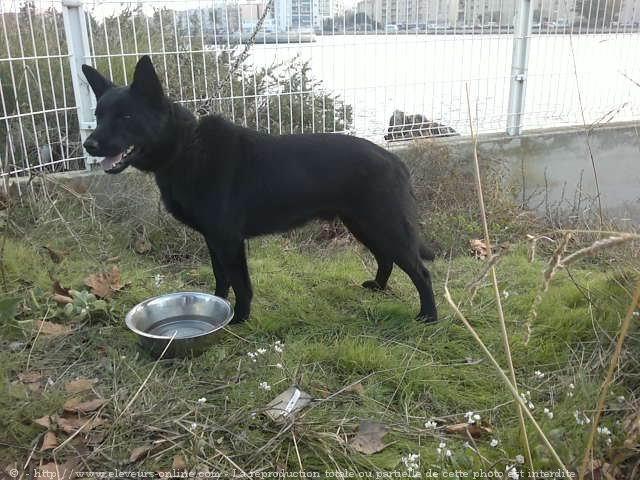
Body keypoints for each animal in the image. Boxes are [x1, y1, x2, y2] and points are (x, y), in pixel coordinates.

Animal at [81, 58, 436, 324]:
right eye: (98, 116)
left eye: (126, 116)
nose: (89, 145)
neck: (186, 148)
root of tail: (394, 160)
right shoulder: (213, 240)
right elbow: (221, 279)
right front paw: (216, 307)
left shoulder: (228, 241)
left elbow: (240, 283)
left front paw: (238, 319)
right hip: (364, 226)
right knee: (386, 258)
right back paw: (378, 287)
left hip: (383, 226)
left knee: (421, 271)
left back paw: (428, 316)